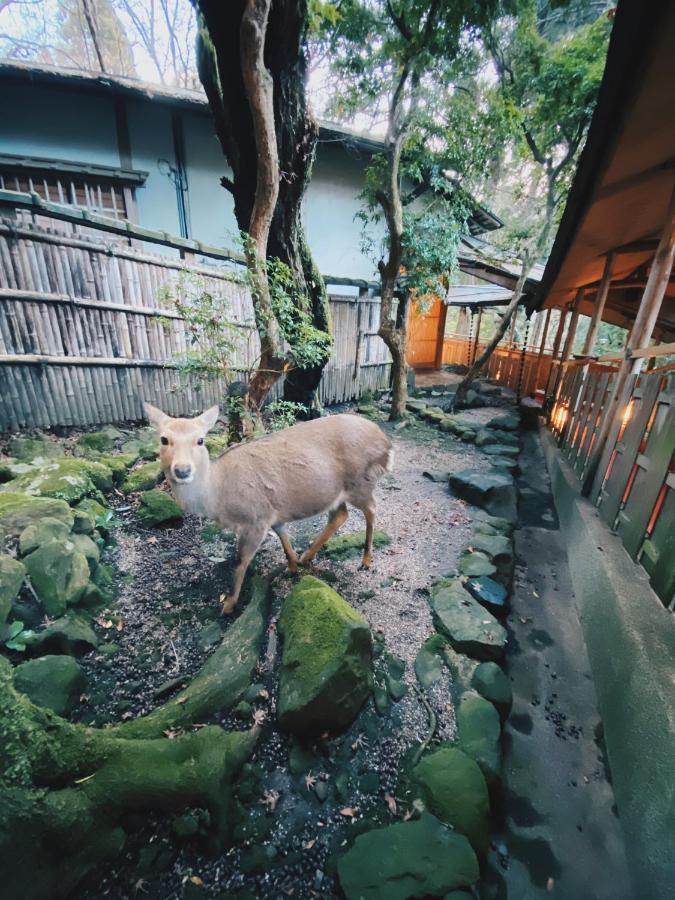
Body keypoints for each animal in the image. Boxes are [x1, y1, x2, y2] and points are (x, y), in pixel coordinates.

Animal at [145, 404, 394, 616]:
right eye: (164, 439)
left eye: (200, 440)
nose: (182, 470)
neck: (217, 497)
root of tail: (387, 444)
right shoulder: (273, 512)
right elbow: (283, 535)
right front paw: (292, 566)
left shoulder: (255, 518)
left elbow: (240, 560)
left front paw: (229, 604)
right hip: (336, 492)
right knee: (340, 514)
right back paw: (307, 556)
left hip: (360, 481)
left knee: (371, 508)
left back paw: (366, 560)